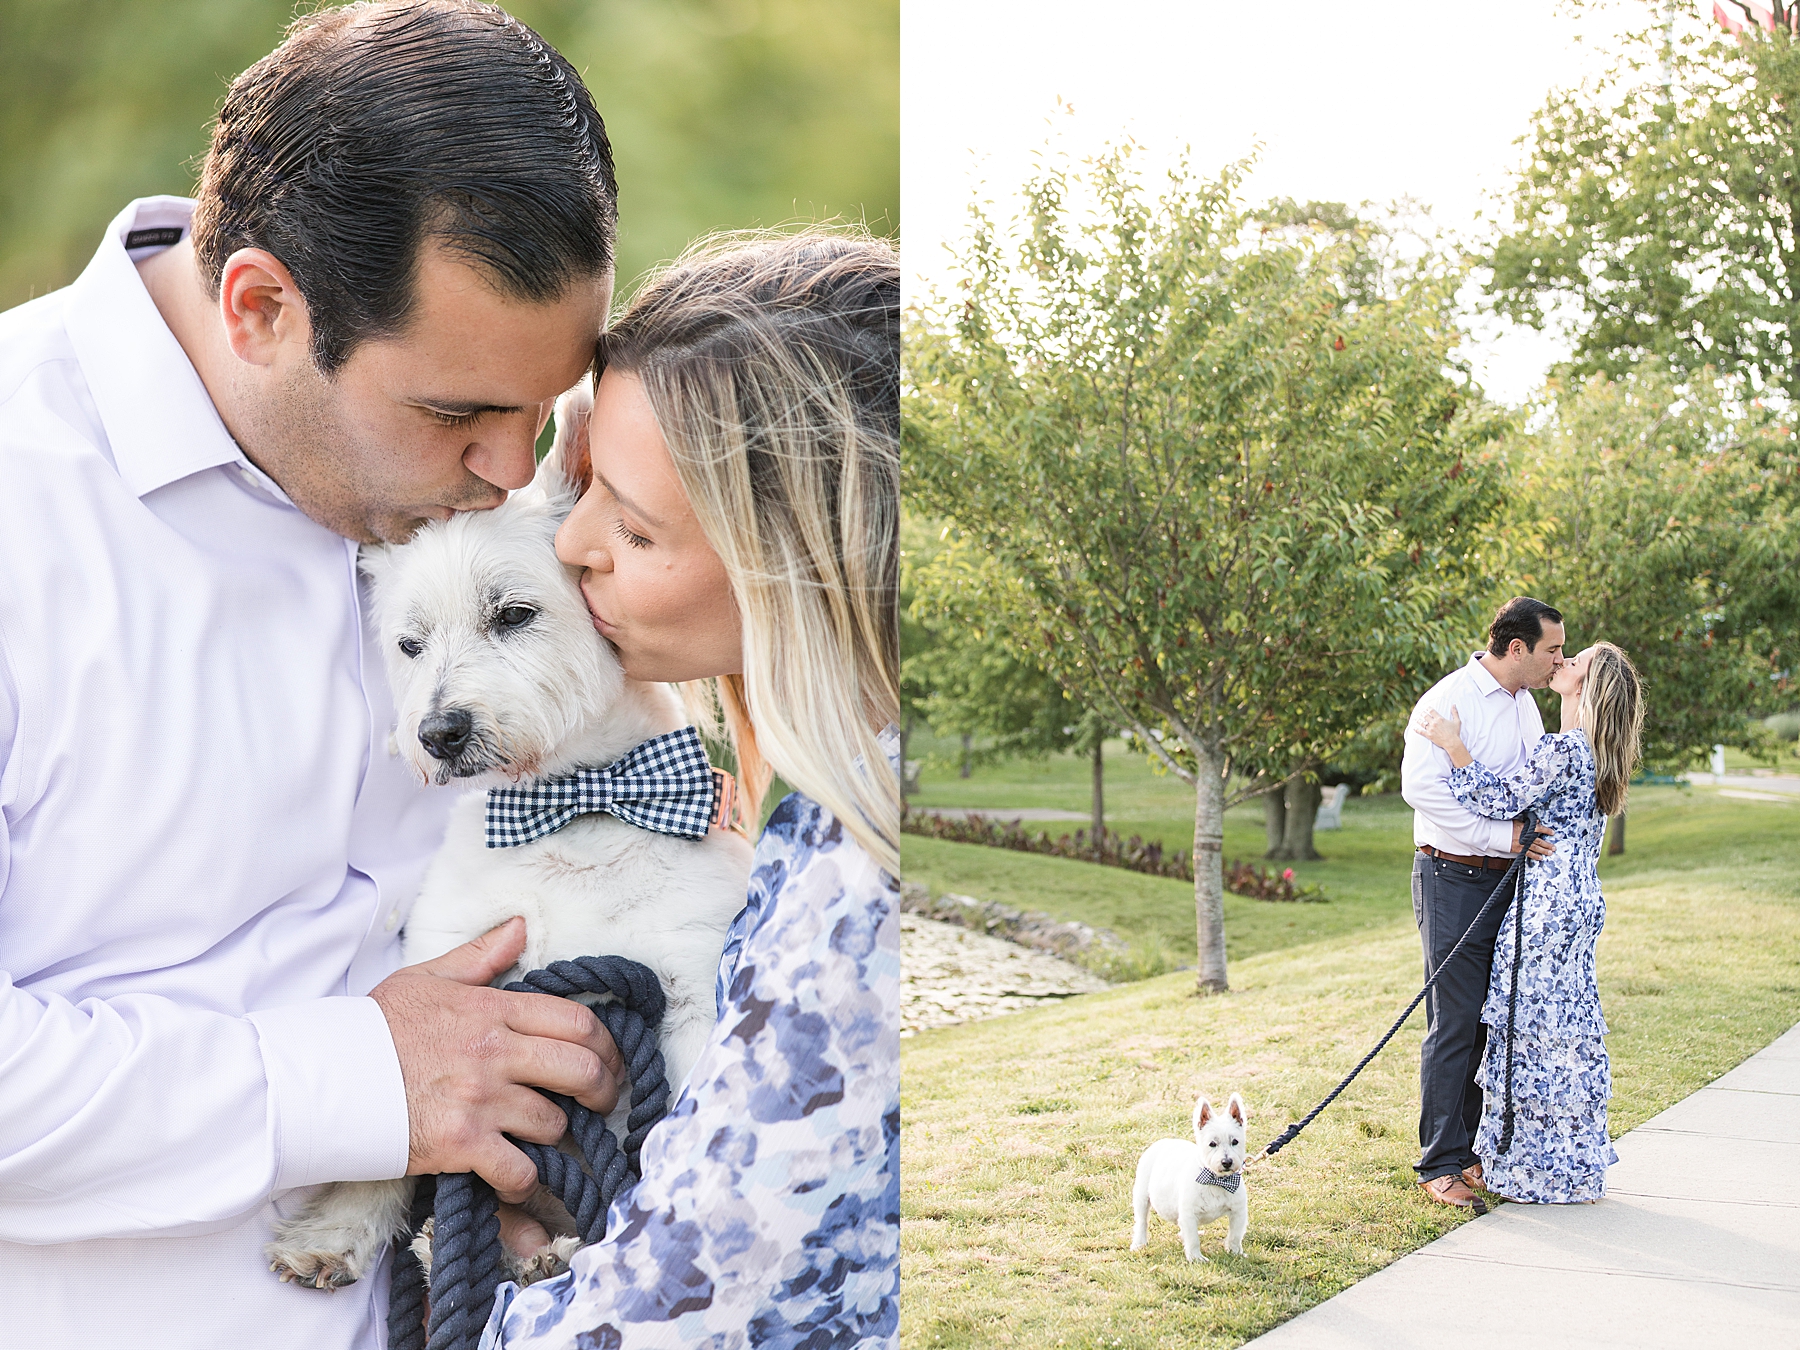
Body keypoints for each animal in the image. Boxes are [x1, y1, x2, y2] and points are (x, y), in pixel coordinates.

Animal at [262, 428, 752, 1296]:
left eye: (514, 615)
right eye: (409, 644)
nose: (438, 733)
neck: (568, 809)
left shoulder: (691, 996)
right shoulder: (459, 976)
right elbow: (402, 1129)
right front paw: (335, 1232)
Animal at [1123, 1094, 1252, 1267]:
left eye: (1235, 1141)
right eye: (1212, 1144)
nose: (1227, 1162)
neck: (1216, 1180)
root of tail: (1164, 1141)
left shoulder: (1238, 1212)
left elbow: (1235, 1236)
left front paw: (1235, 1253)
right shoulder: (1189, 1214)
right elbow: (1193, 1239)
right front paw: (1196, 1258)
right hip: (1142, 1196)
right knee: (1141, 1221)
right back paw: (1138, 1243)